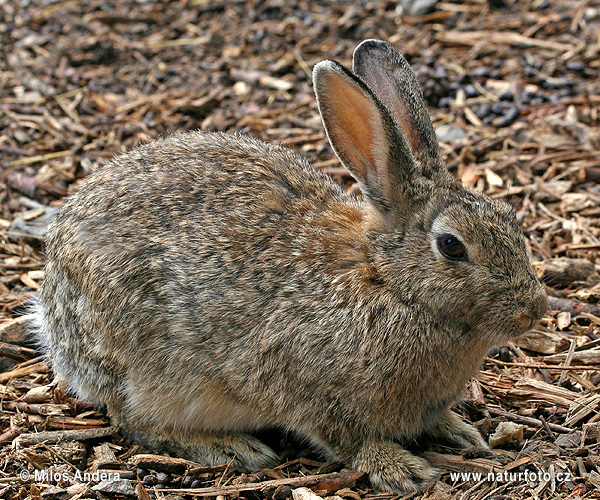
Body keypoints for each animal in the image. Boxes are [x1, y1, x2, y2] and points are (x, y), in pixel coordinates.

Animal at [32, 38, 548, 492]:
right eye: (451, 246)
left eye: (509, 216)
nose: (533, 311)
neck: (386, 279)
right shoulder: (303, 386)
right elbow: (345, 438)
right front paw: (400, 468)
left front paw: (461, 432)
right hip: (143, 368)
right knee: (135, 420)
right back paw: (232, 447)